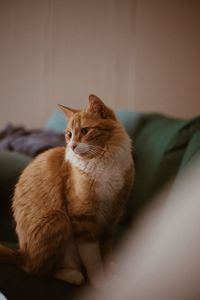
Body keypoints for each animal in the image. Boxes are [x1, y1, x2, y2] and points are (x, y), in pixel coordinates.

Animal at [0, 95, 134, 288]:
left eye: (85, 131)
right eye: (69, 134)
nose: (72, 146)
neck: (103, 160)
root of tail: (20, 253)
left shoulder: (112, 218)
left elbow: (106, 253)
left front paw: (109, 272)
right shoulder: (84, 220)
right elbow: (93, 261)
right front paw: (100, 283)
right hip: (59, 219)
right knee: (40, 270)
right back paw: (73, 275)